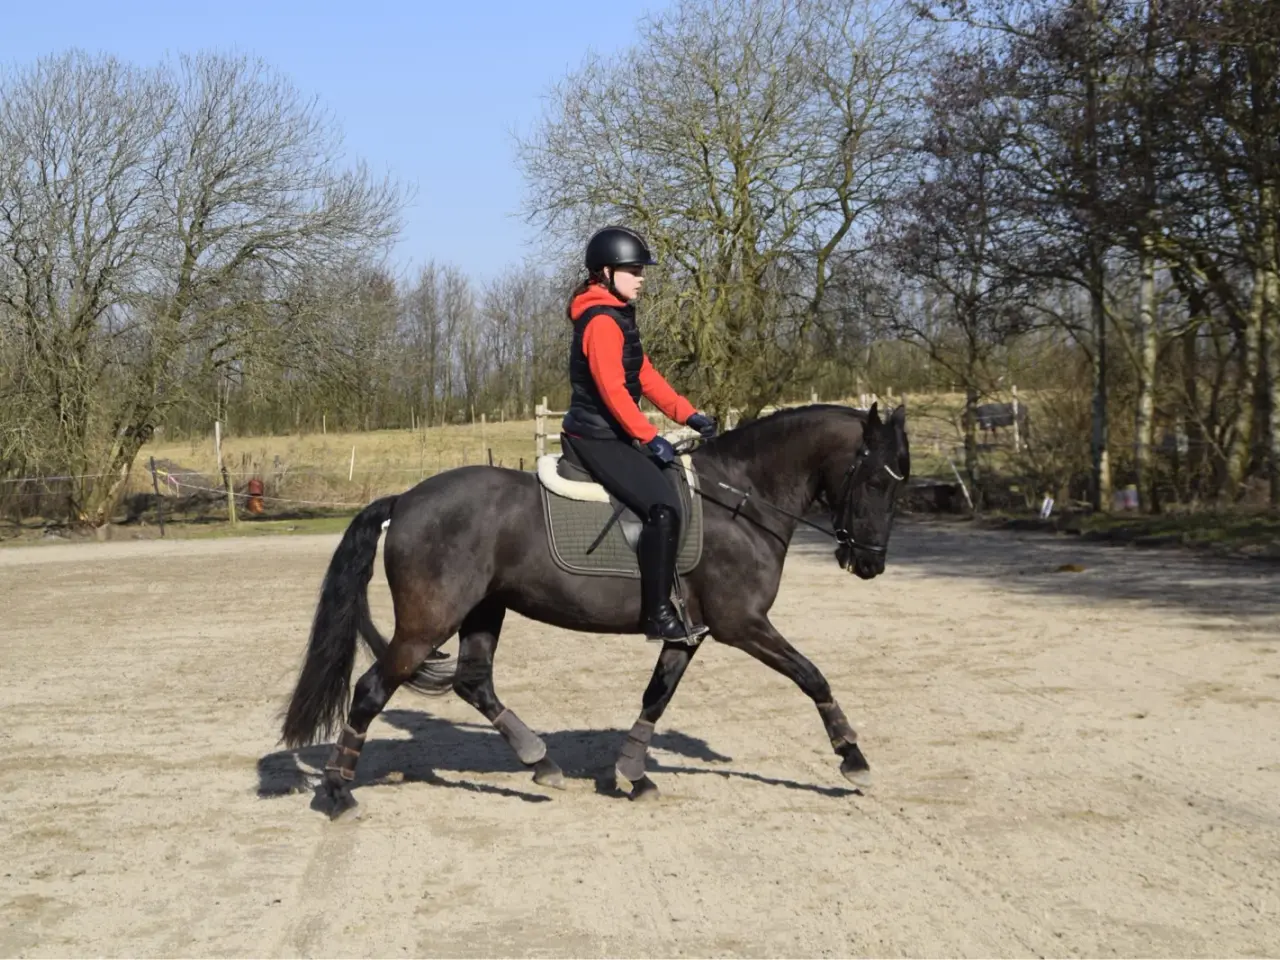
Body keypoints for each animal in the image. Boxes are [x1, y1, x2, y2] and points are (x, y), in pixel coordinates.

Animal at [280, 401, 910, 819]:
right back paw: (338, 793)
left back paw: (540, 763)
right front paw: (853, 757)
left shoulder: (688, 632)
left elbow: (656, 696)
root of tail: (407, 500)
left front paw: (632, 773)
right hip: (427, 624)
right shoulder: (742, 625)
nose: (870, 564)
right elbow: (812, 675)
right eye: (877, 481)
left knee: (474, 683)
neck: (740, 500)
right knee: (370, 691)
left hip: (484, 611)